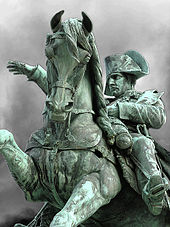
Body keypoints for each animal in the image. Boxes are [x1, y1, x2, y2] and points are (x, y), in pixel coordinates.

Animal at [3, 11, 169, 226]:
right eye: (49, 53)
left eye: (84, 58)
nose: (59, 106)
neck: (61, 137)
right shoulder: (34, 185)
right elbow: (5, 136)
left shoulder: (98, 185)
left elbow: (63, 218)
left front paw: (114, 109)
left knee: (141, 142)